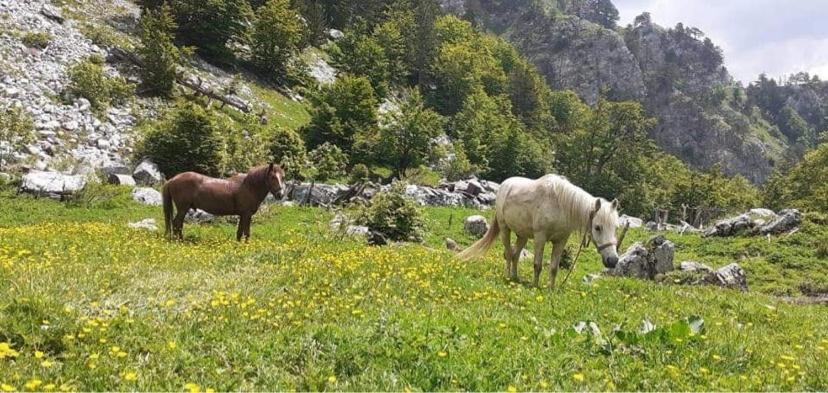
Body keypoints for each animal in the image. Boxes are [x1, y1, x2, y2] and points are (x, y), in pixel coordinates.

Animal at [456, 175, 624, 288]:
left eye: (615, 227)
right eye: (597, 227)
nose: (612, 260)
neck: (560, 206)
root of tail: (504, 184)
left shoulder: (560, 241)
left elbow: (554, 268)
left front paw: (550, 289)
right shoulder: (540, 238)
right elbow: (537, 264)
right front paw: (535, 286)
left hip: (522, 235)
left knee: (515, 255)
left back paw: (515, 277)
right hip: (505, 229)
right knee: (509, 254)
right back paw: (508, 276)